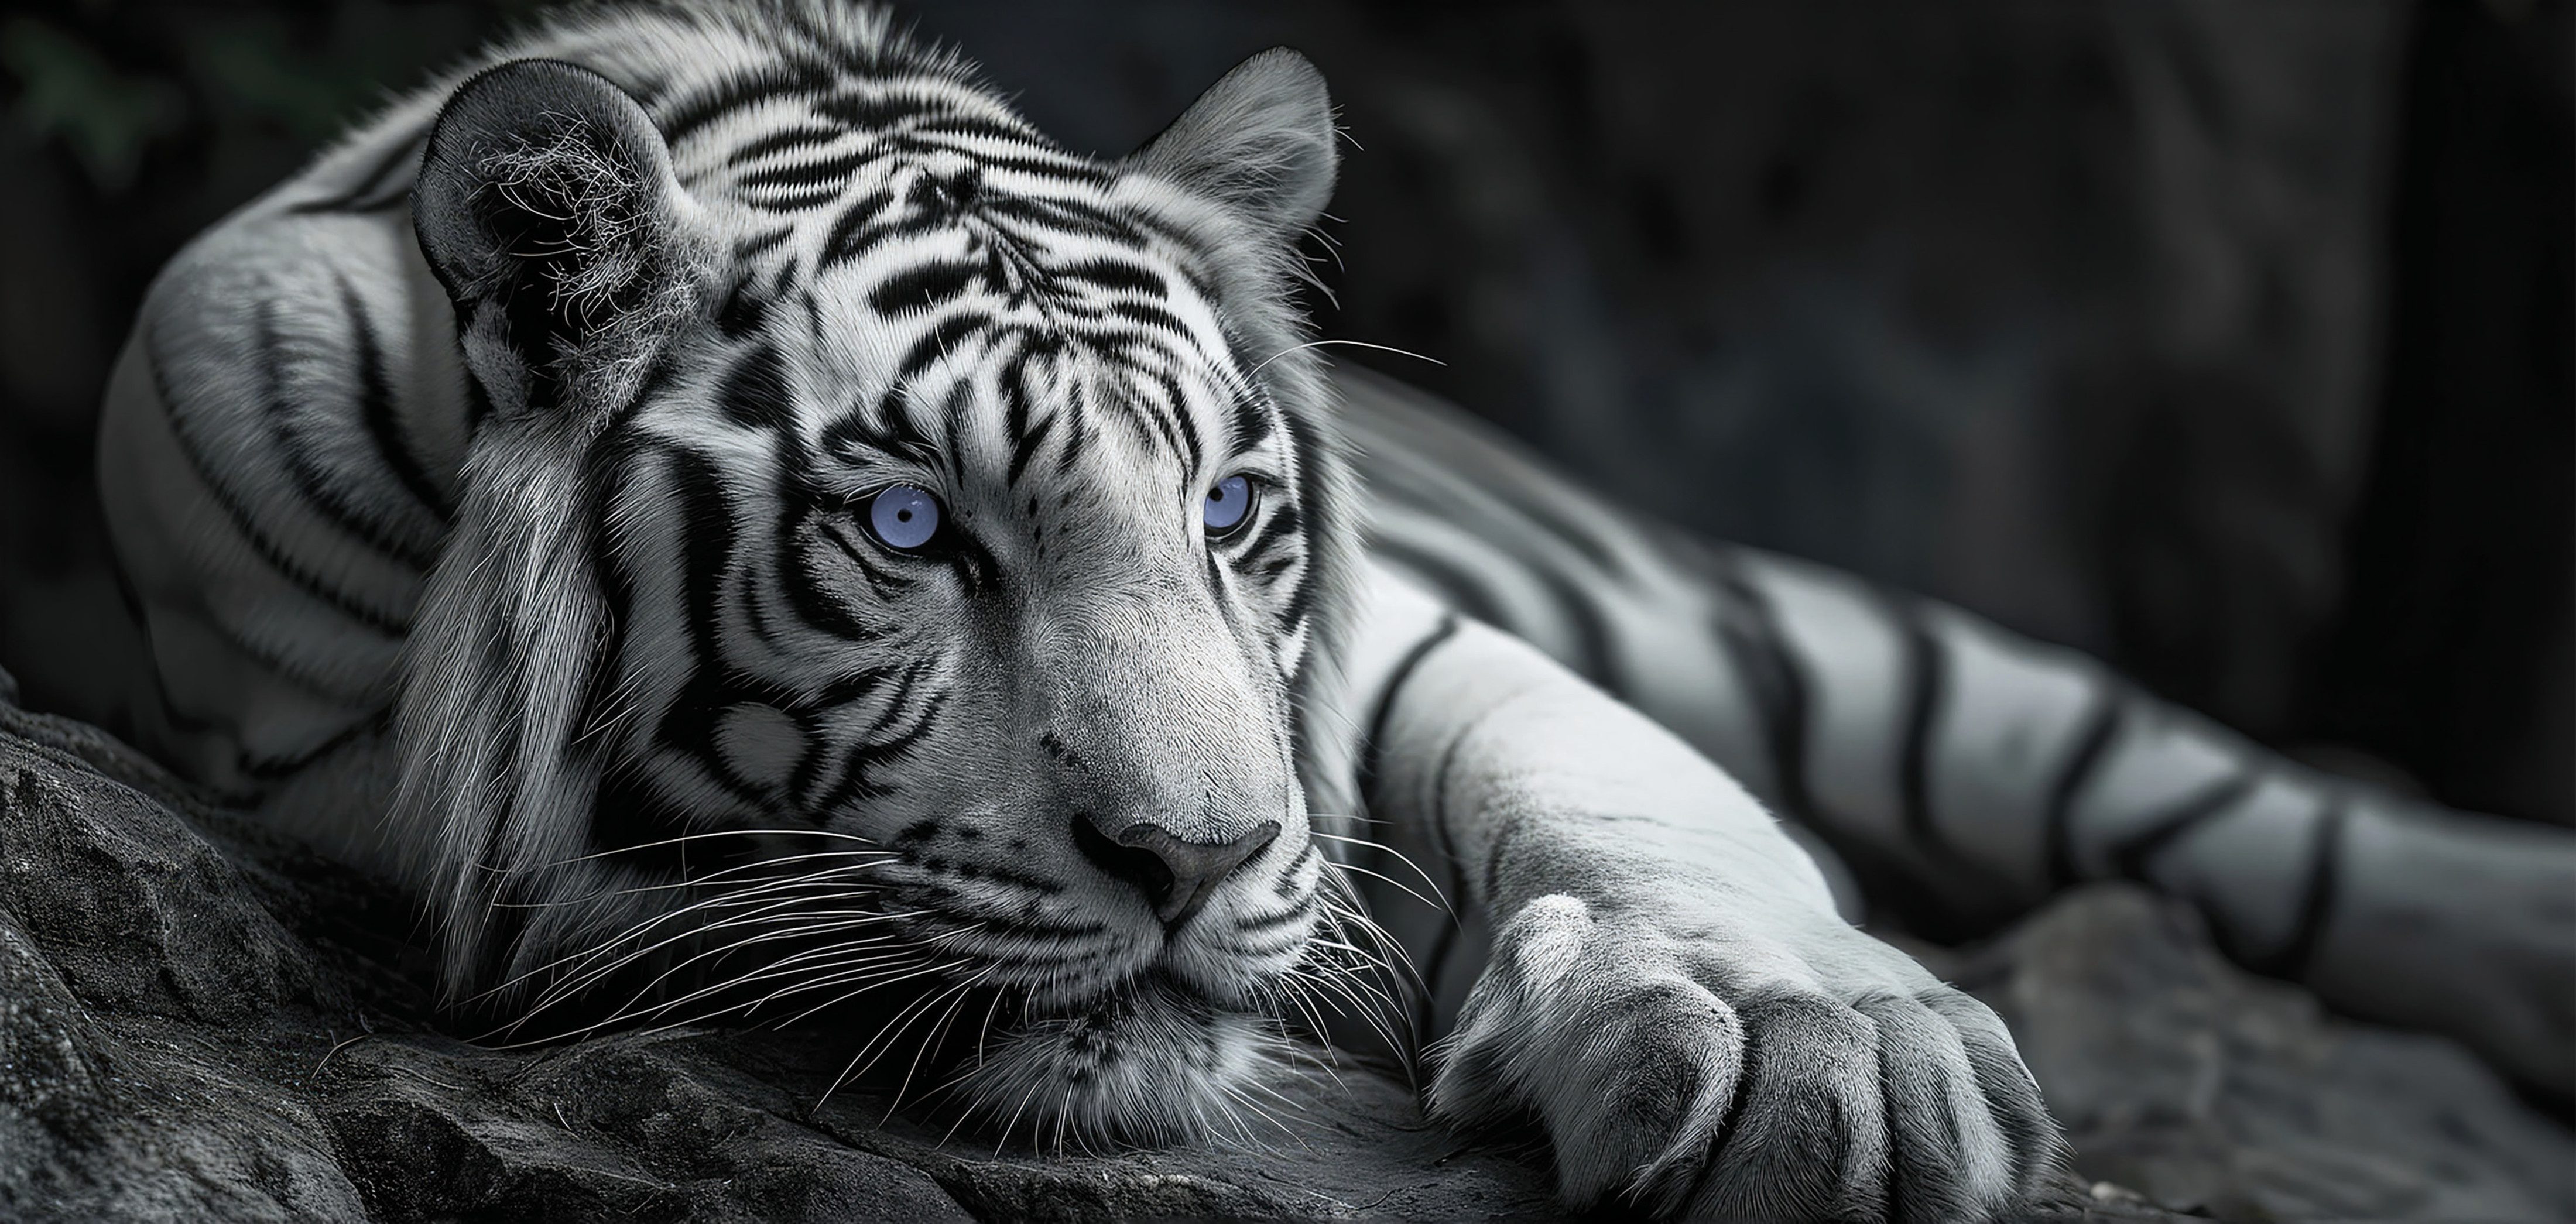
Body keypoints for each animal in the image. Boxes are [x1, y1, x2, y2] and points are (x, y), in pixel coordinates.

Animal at [88, 0, 2569, 1219]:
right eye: (906, 531)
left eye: (1231, 515)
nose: (1196, 868)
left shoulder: (1412, 657)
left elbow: (1621, 793)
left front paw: (1816, 1055)